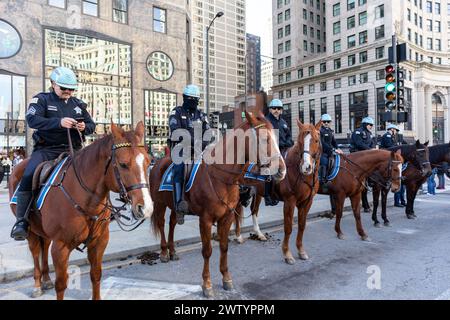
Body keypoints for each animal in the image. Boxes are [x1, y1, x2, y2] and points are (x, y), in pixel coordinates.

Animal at [8, 123, 153, 300]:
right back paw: (37, 284)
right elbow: (61, 284)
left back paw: (46, 279)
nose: (145, 208)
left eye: (148, 162)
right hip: (31, 230)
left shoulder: (99, 241)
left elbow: (96, 275)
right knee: (35, 251)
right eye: (123, 164)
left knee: (44, 246)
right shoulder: (61, 246)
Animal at [149, 110, 286, 298]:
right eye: (265, 139)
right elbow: (207, 251)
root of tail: (157, 164)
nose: (281, 170)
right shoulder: (205, 219)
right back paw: (164, 252)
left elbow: (224, 246)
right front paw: (207, 285)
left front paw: (226, 279)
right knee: (162, 223)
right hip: (159, 203)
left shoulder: (227, 217)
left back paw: (173, 251)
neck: (221, 177)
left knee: (172, 223)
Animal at [232, 120, 324, 264]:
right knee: (237, 211)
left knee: (254, 210)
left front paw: (301, 251)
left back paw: (259, 234)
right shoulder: (289, 201)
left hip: (258, 192)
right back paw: (238, 236)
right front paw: (287, 254)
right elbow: (288, 227)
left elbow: (302, 225)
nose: (306, 167)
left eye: (316, 140)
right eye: (300, 141)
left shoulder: (307, 202)